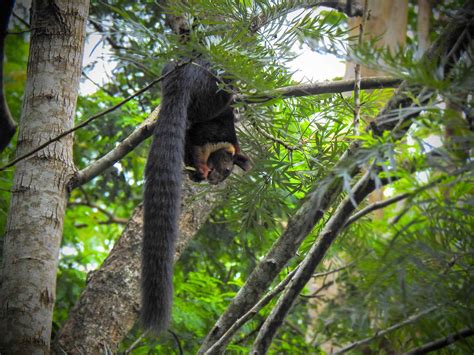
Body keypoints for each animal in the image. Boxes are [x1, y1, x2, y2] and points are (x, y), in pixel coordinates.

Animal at [143, 58, 250, 334]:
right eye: (225, 171)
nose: (214, 180)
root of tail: (186, 73)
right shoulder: (212, 137)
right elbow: (199, 145)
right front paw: (201, 170)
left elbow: (191, 149)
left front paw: (196, 173)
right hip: (212, 92)